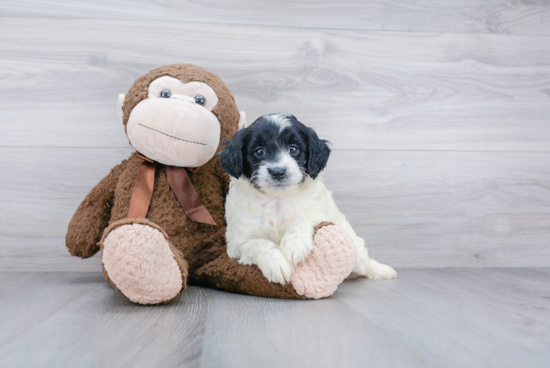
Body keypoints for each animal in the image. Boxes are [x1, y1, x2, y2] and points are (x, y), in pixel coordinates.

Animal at [220, 113, 396, 284]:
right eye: (259, 151)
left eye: (293, 149)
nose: (278, 172)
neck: (278, 200)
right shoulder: (236, 243)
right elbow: (258, 243)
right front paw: (276, 264)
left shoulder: (318, 211)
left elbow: (303, 218)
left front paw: (294, 245)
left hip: (357, 254)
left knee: (363, 265)